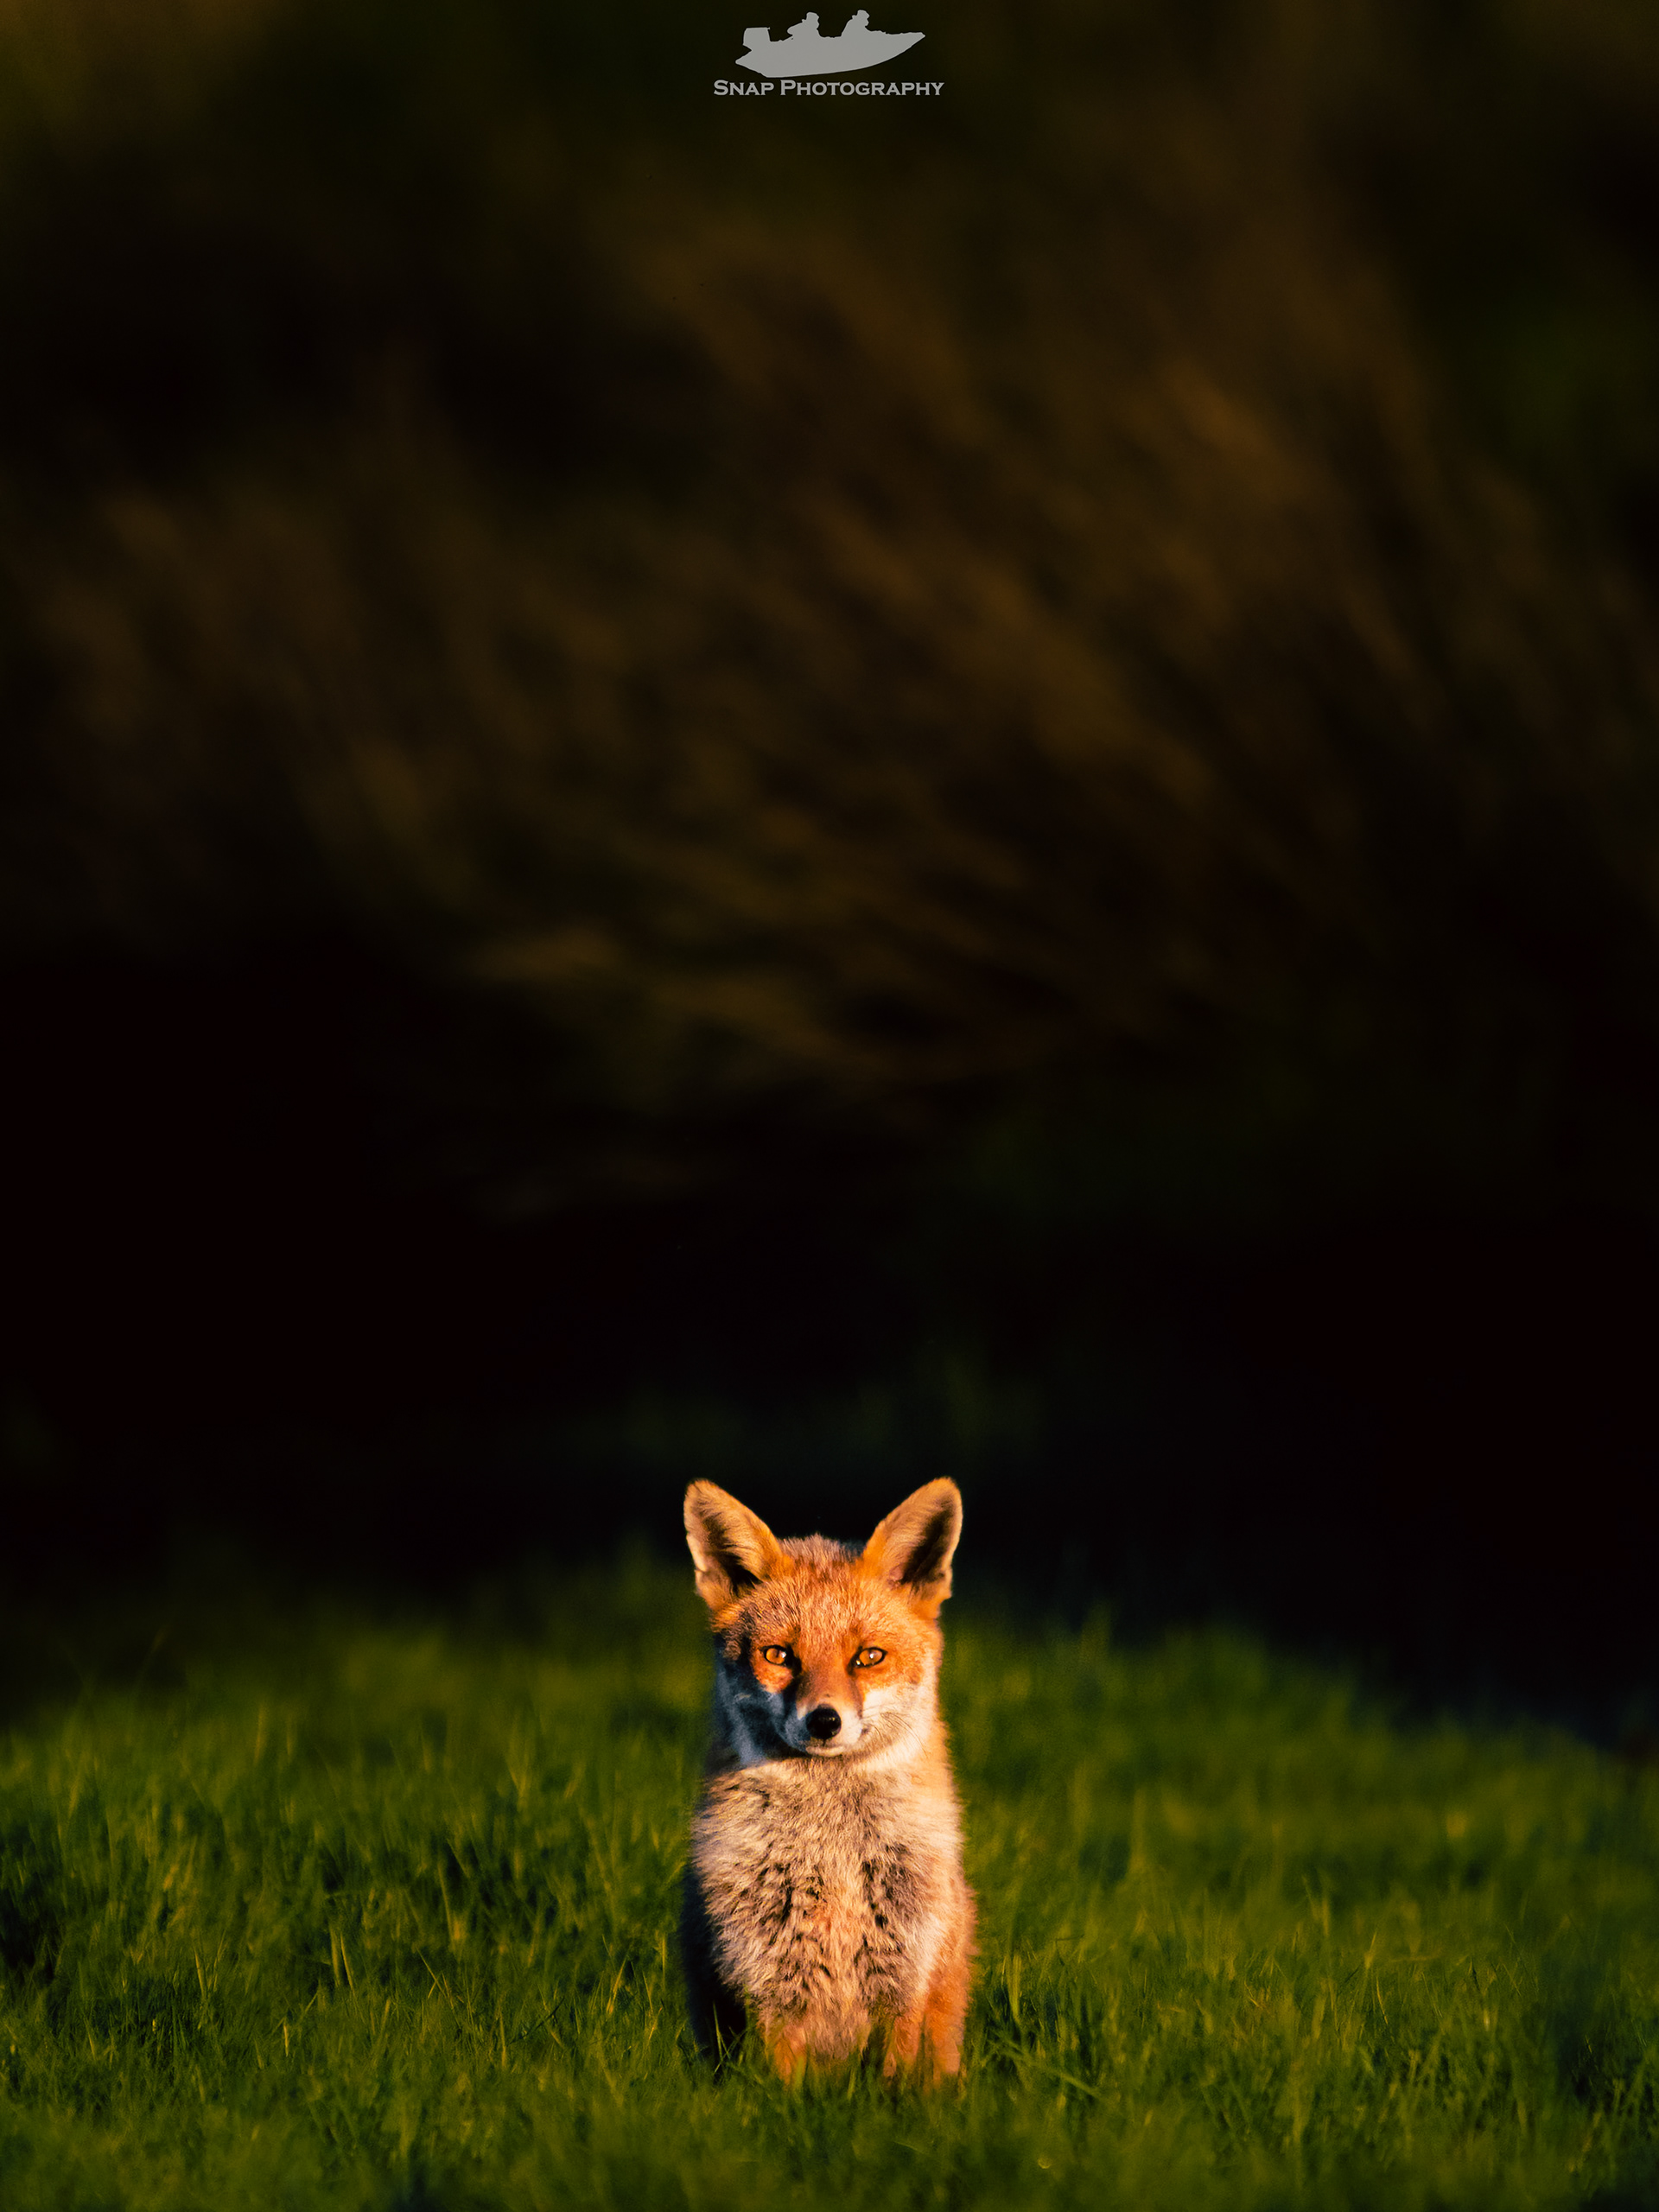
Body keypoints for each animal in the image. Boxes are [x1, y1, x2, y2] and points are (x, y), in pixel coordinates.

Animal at [680, 1475, 975, 2084]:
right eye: (778, 1656)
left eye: (868, 1657)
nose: (824, 1720)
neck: (832, 1854)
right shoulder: (765, 1984)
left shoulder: (905, 1979)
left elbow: (891, 2083)